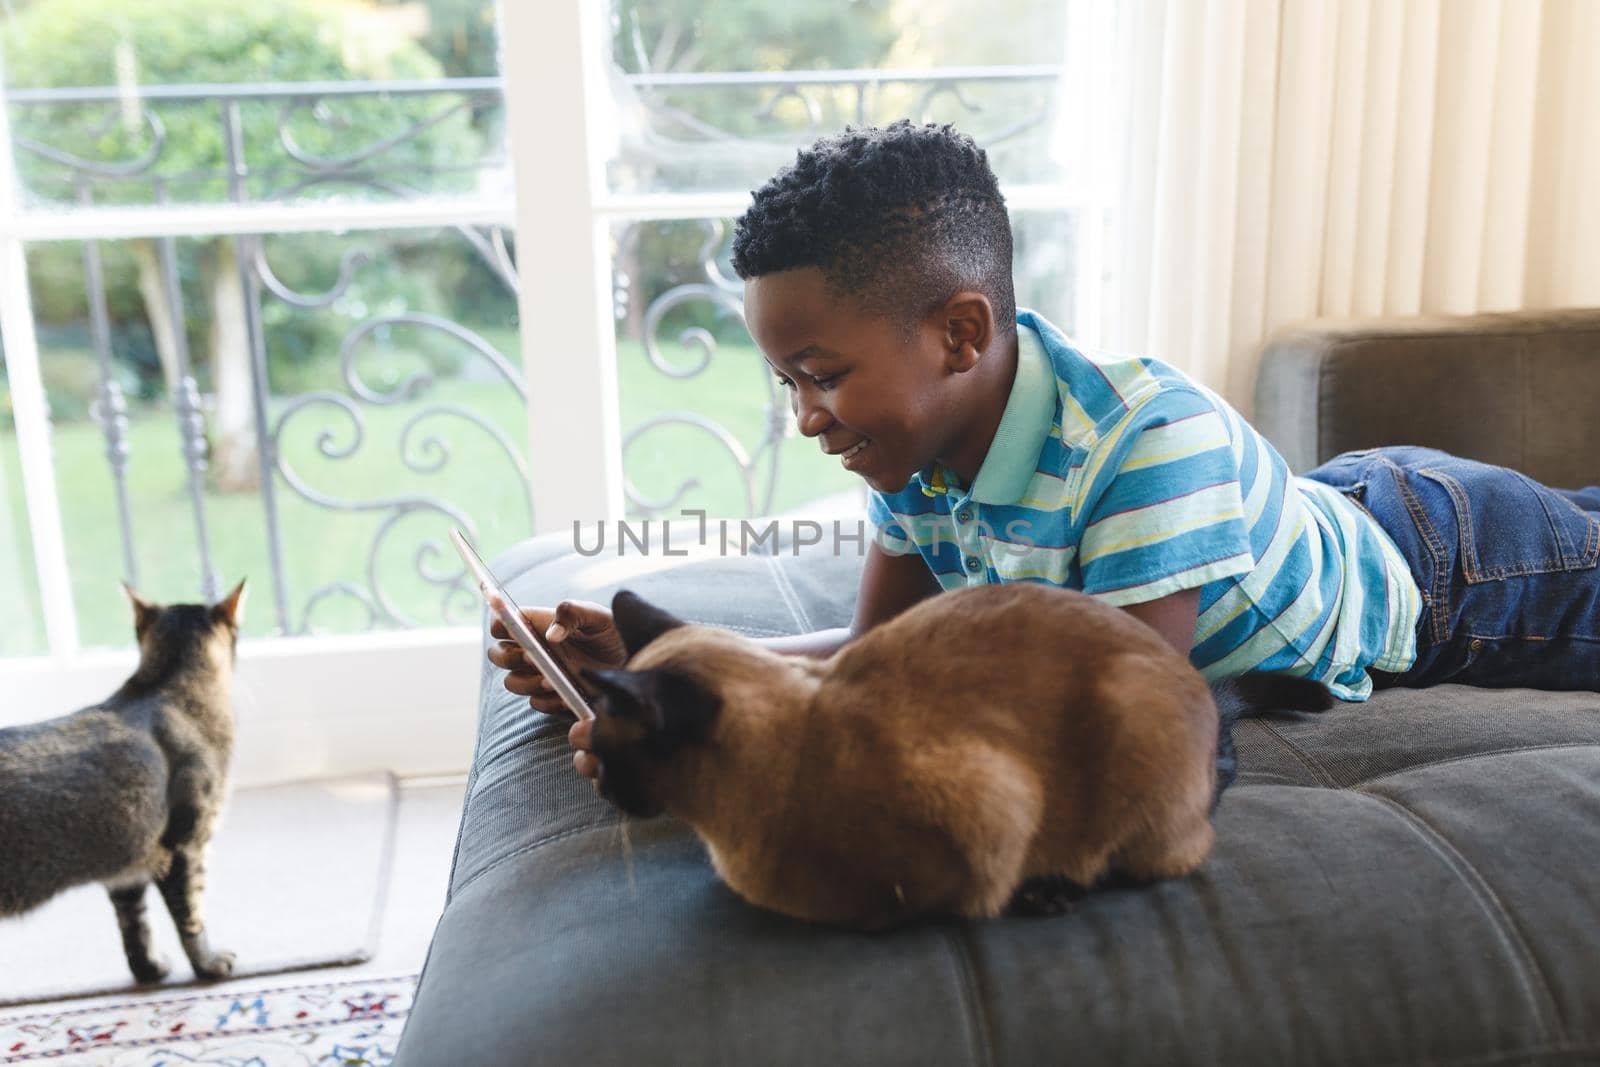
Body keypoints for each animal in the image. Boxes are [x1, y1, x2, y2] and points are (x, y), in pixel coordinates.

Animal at [0, 585, 246, 985]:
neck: (165, 690)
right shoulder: (184, 846)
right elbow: (191, 917)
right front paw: (208, 965)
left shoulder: (126, 869)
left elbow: (134, 925)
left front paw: (148, 970)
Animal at [582, 588, 1331, 927]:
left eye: (609, 757)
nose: (602, 790)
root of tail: (1199, 687)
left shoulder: (993, 804)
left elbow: (945, 895)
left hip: (1133, 726)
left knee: (1160, 856)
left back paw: (1052, 891)